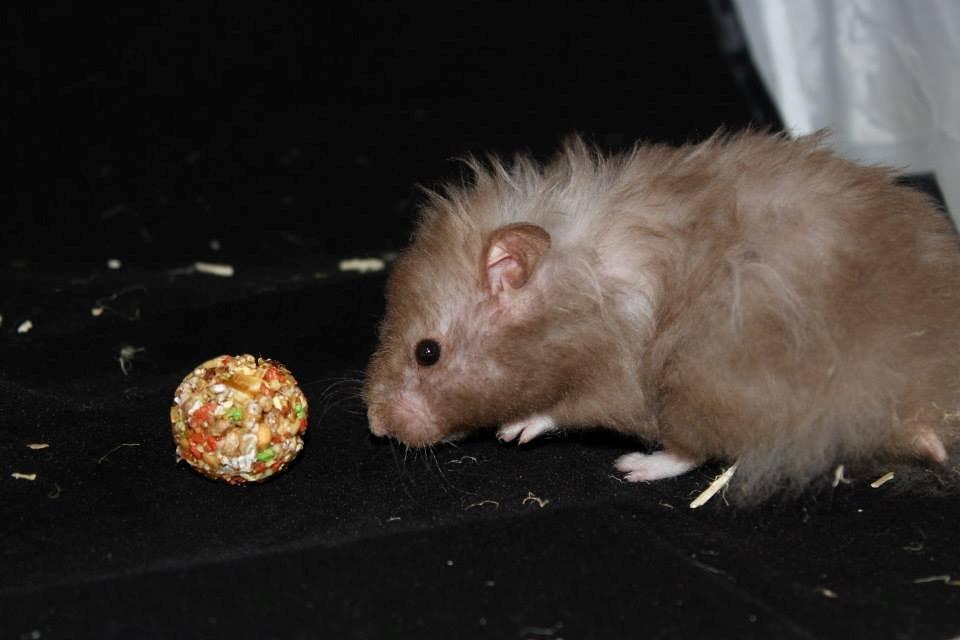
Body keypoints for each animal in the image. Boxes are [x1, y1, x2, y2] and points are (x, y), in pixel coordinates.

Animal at [364, 131, 960, 502]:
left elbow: (562, 410)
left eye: (427, 353)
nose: (375, 426)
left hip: (691, 383)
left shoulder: (611, 378)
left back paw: (633, 467)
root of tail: (920, 393)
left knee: (693, 449)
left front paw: (515, 430)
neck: (573, 293)